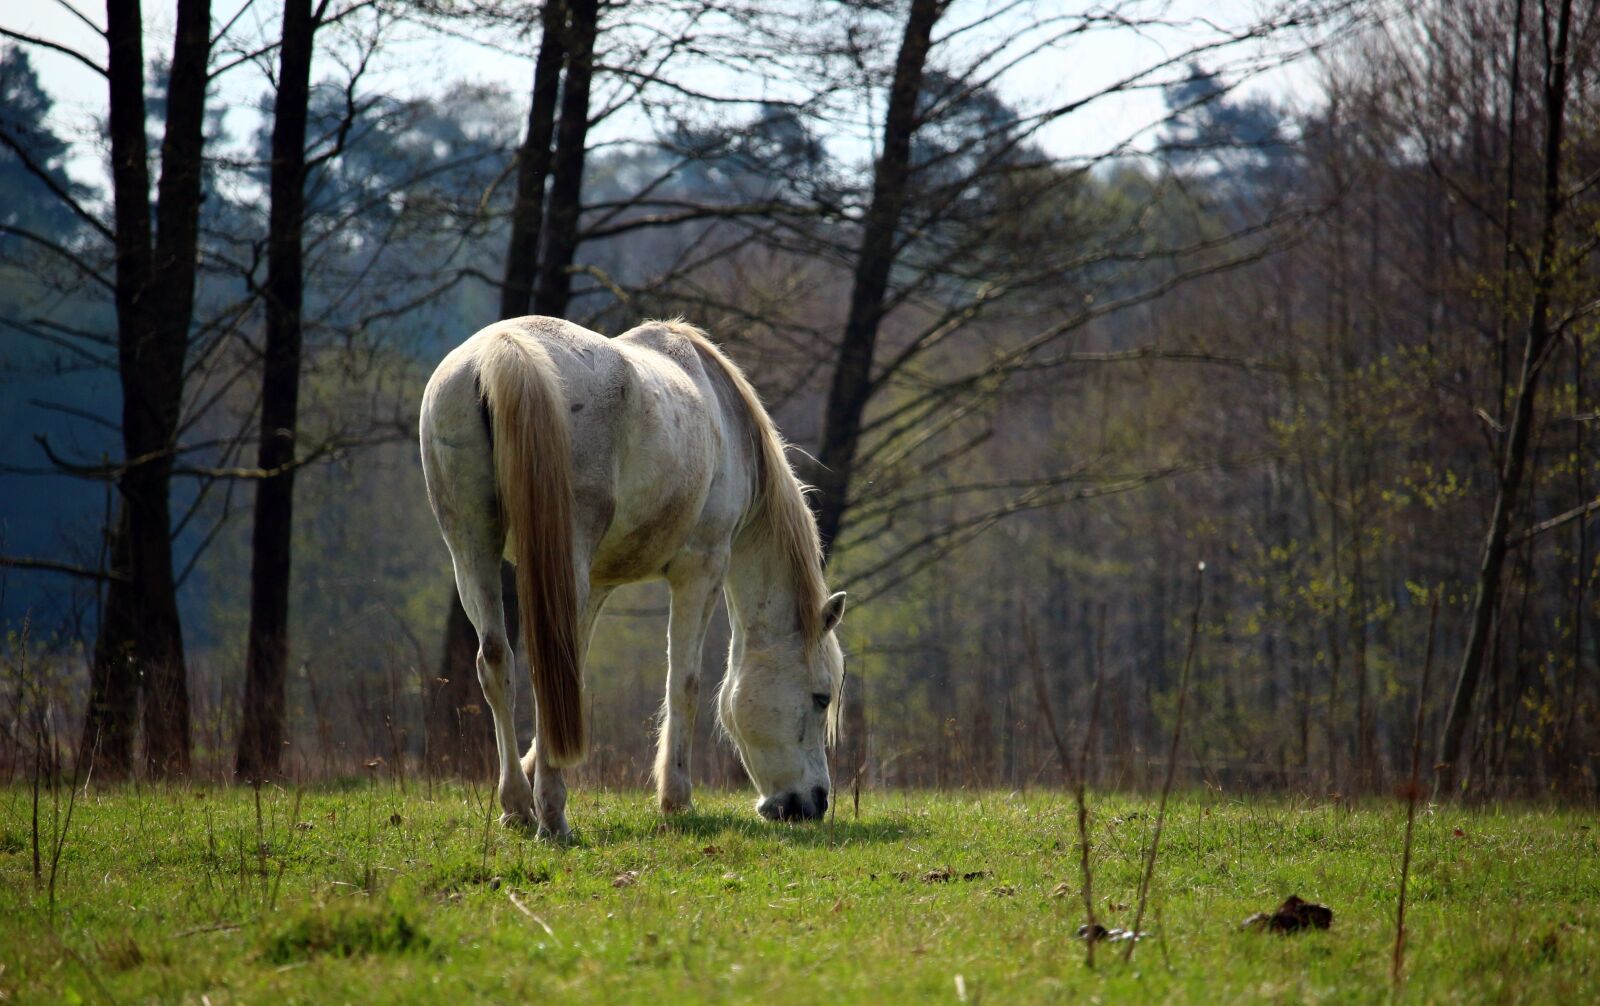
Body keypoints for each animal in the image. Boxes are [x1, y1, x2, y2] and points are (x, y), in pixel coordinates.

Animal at [419, 315, 846, 838]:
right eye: (821, 698)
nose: (813, 803)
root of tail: (503, 351)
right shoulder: (701, 568)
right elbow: (684, 683)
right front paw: (675, 798)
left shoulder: (597, 585)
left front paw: (530, 767)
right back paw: (553, 817)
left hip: (471, 546)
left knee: (501, 661)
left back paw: (519, 804)